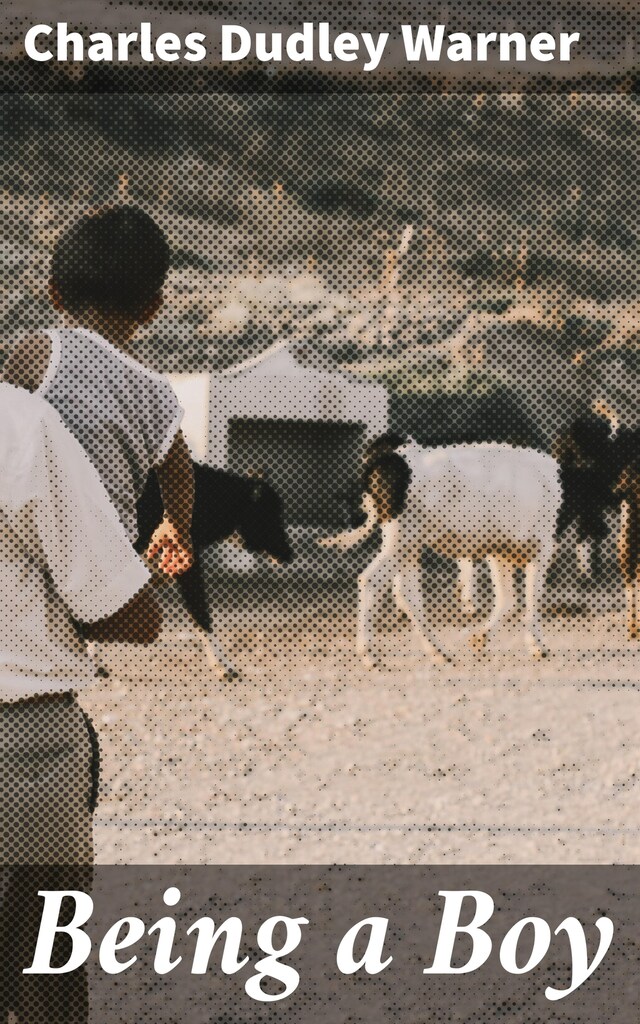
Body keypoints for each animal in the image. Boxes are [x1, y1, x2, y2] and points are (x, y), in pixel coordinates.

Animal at [319, 442, 557, 667]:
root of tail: (393, 455)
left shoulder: (500, 550)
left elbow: (507, 599)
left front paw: (480, 639)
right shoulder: (543, 544)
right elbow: (531, 597)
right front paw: (537, 645)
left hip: (408, 545)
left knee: (407, 594)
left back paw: (438, 651)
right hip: (402, 539)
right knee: (372, 580)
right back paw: (369, 655)